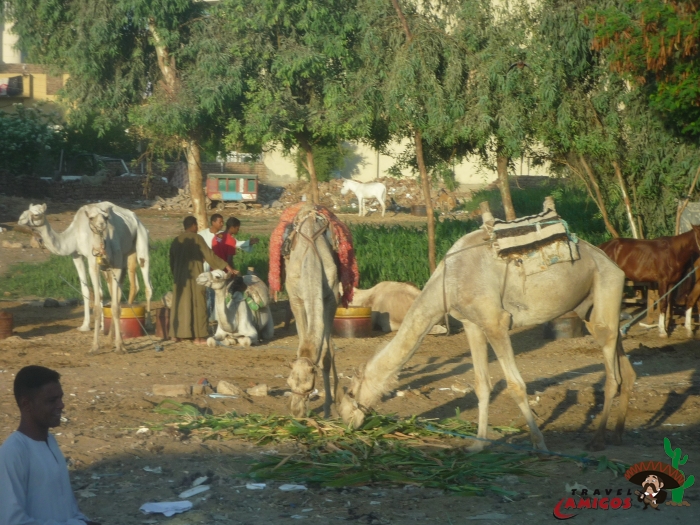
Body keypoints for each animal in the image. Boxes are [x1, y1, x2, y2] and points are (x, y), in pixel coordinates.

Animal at [18, 203, 152, 333]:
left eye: (36, 214)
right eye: (25, 211)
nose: (20, 220)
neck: (74, 234)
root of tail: (135, 217)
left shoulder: (93, 256)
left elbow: (99, 292)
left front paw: (100, 326)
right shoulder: (77, 255)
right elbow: (86, 290)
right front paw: (86, 326)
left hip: (141, 240)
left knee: (147, 283)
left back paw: (147, 324)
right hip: (126, 253)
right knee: (128, 284)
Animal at [284, 205, 340, 418]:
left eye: (309, 387)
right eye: (288, 382)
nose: (296, 411)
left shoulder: (331, 298)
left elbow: (326, 355)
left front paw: (328, 407)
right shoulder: (296, 300)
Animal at [339, 200, 636, 452]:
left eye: (350, 391)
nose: (345, 420)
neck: (447, 283)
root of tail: (613, 263)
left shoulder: (495, 322)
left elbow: (516, 385)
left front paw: (539, 443)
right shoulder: (472, 324)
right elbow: (481, 385)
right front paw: (478, 444)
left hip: (605, 287)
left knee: (613, 375)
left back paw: (597, 440)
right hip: (592, 308)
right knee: (624, 364)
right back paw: (619, 434)